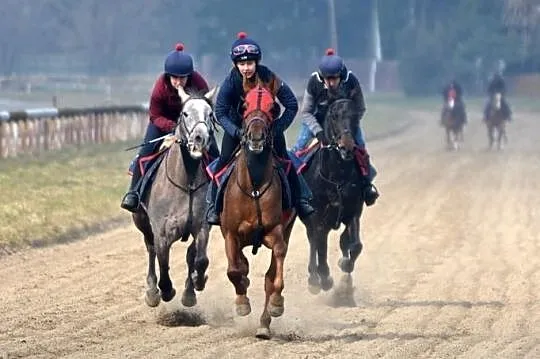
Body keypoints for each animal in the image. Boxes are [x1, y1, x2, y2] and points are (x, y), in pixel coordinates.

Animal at [132, 86, 217, 310]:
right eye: (185, 113)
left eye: (210, 114)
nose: (200, 138)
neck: (187, 183)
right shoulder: (162, 231)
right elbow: (162, 260)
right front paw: (166, 290)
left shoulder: (201, 226)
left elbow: (200, 259)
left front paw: (196, 284)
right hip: (142, 221)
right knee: (151, 249)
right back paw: (152, 292)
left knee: (190, 255)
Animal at [218, 84, 296, 340]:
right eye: (244, 106)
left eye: (273, 107)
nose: (256, 137)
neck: (253, 187)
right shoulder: (230, 234)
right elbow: (234, 270)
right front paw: (242, 304)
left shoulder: (276, 231)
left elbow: (275, 275)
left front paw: (277, 304)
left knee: (269, 277)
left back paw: (264, 325)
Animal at [300, 95, 368, 300]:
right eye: (334, 116)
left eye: (355, 116)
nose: (347, 146)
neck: (336, 177)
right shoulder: (318, 217)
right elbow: (320, 245)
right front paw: (324, 278)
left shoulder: (353, 211)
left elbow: (355, 245)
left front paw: (344, 266)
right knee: (313, 241)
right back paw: (314, 279)